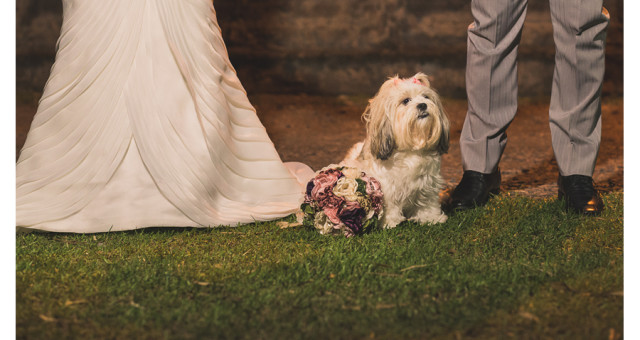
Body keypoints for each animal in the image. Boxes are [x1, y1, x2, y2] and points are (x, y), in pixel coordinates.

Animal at [340, 73, 450, 230]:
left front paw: (431, 218)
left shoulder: (428, 183)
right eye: (406, 101)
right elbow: (390, 204)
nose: (423, 105)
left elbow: (427, 201)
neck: (411, 150)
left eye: (426, 97)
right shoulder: (385, 186)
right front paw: (389, 222)